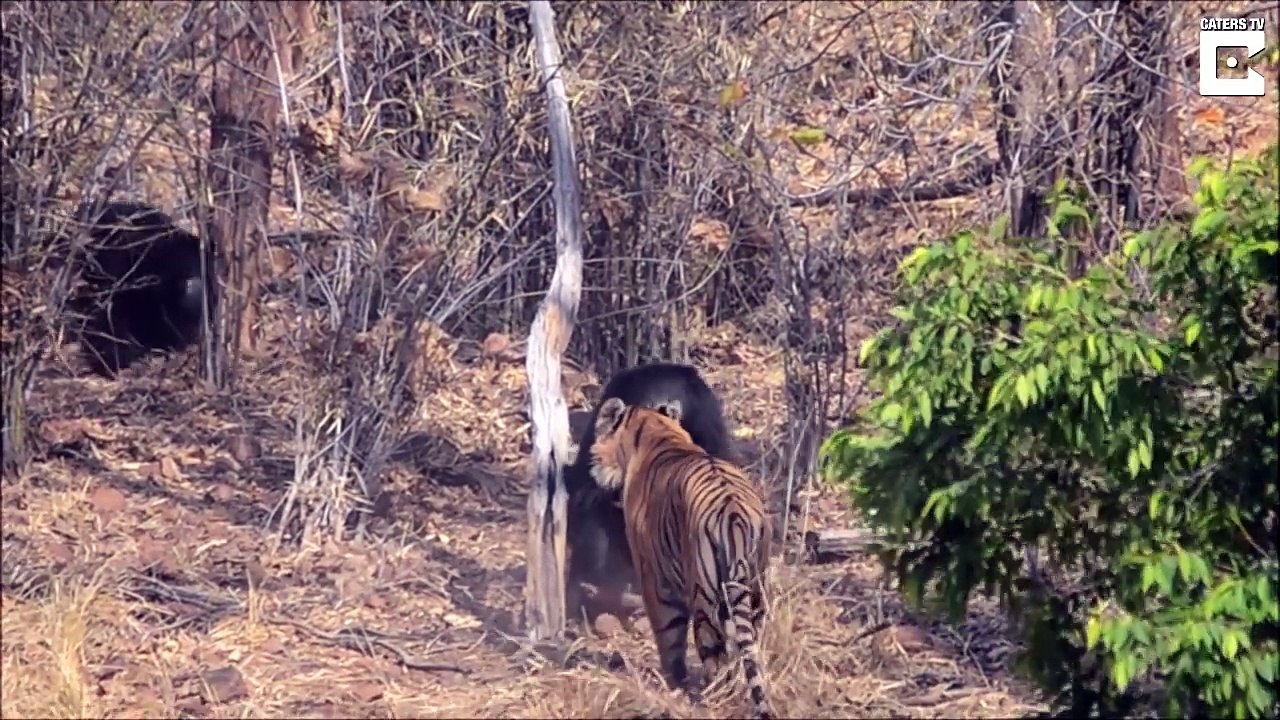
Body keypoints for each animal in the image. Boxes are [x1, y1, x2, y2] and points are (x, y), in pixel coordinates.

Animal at [588, 396, 774, 720]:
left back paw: (713, 696)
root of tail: (735, 513)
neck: (656, 428)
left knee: (714, 652)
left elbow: (668, 634)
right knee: (748, 648)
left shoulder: (652, 575)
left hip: (705, 597)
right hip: (755, 590)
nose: (592, 458)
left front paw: (673, 680)